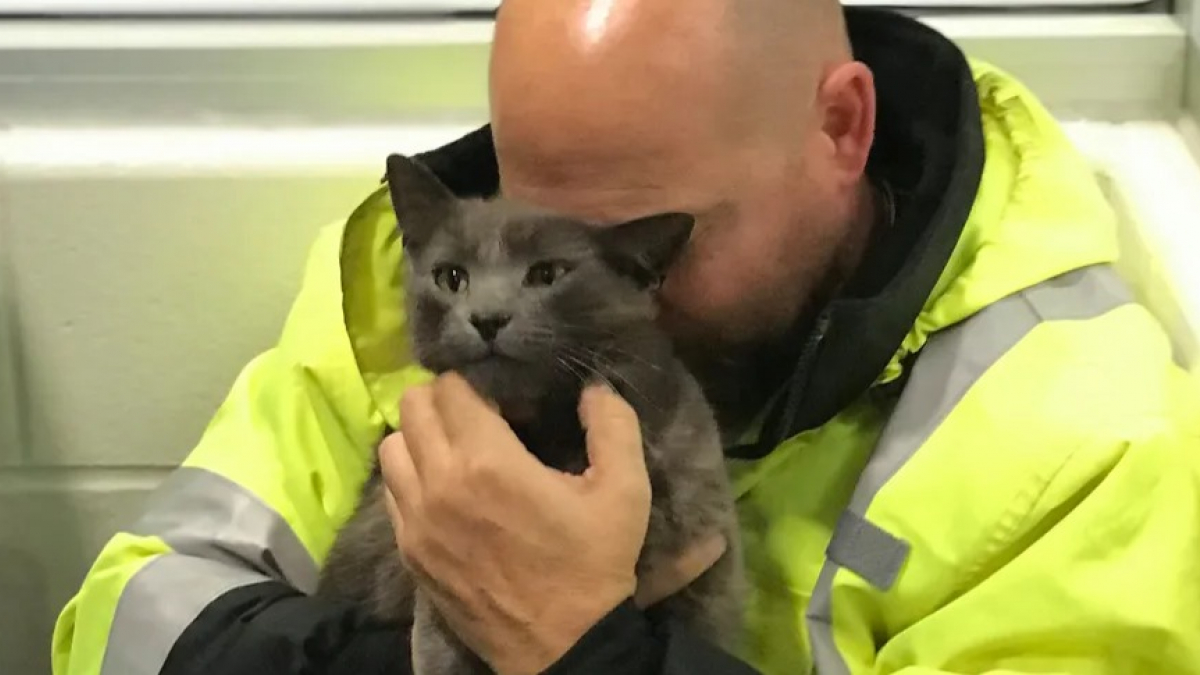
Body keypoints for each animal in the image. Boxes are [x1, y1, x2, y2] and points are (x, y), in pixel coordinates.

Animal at [316, 152, 748, 672]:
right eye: (451, 277)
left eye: (547, 275)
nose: (487, 317)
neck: (547, 435)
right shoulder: (440, 603)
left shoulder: (708, 567)